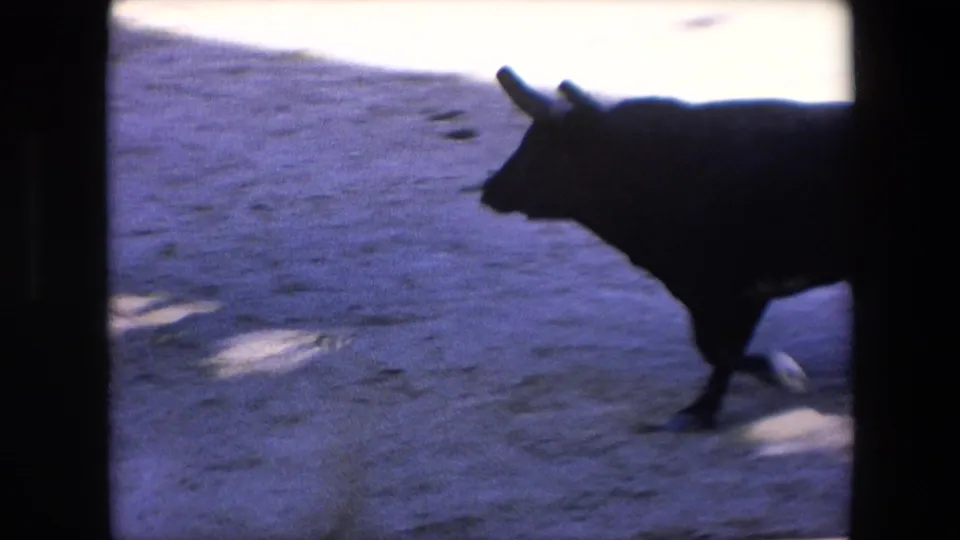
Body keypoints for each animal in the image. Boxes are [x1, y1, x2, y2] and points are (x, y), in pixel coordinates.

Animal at [477, 66, 852, 433]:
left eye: (541, 148)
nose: (489, 189)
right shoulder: (720, 294)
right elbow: (717, 350)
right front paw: (706, 408)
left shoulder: (733, 291)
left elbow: (720, 350)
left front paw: (775, 374)